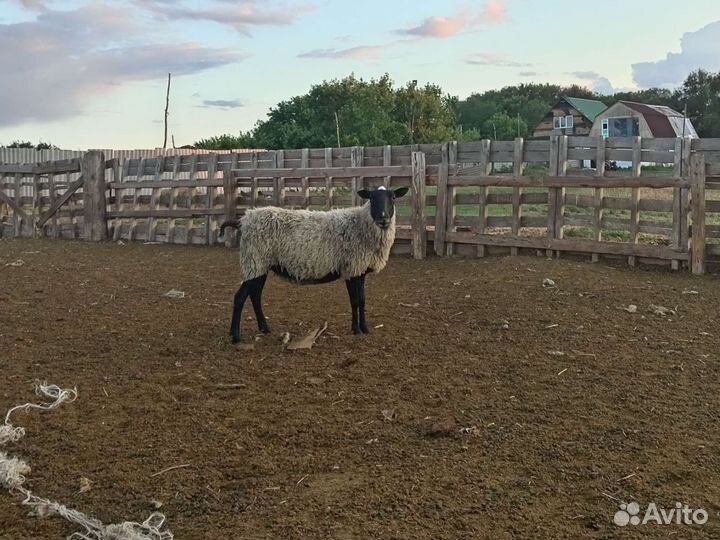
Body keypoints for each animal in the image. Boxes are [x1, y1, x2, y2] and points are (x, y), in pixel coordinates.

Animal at [220, 186, 409, 343]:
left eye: (393, 197)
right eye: (372, 198)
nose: (383, 219)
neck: (362, 226)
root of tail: (243, 220)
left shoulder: (360, 270)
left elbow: (362, 300)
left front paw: (365, 328)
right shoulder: (351, 267)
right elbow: (355, 301)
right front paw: (356, 330)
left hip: (260, 265)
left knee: (255, 296)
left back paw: (264, 328)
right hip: (254, 261)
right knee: (240, 297)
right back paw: (235, 336)